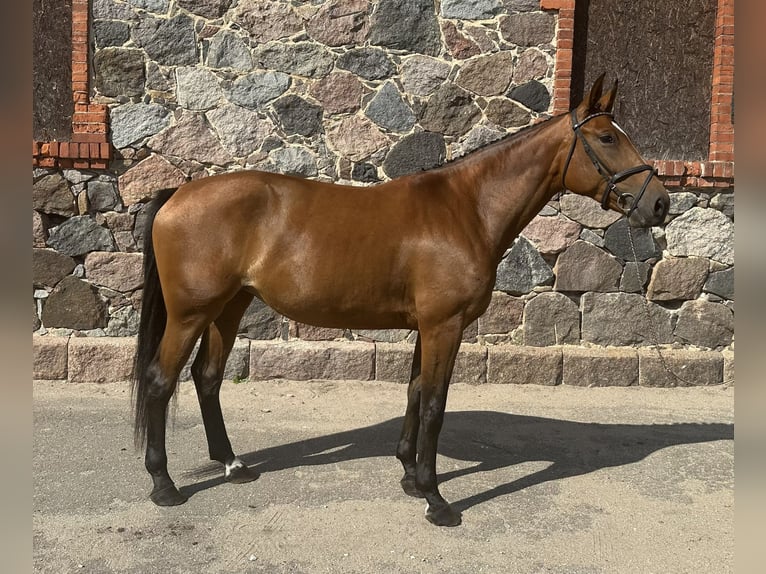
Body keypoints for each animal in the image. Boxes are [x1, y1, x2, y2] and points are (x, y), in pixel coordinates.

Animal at [132, 74, 670, 526]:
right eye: (606, 138)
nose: (660, 203)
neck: (466, 209)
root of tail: (177, 194)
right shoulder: (444, 326)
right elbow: (434, 404)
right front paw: (436, 499)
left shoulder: (426, 327)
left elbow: (414, 392)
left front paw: (411, 478)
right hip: (191, 314)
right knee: (160, 382)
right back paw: (164, 485)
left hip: (229, 308)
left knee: (207, 378)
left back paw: (232, 464)